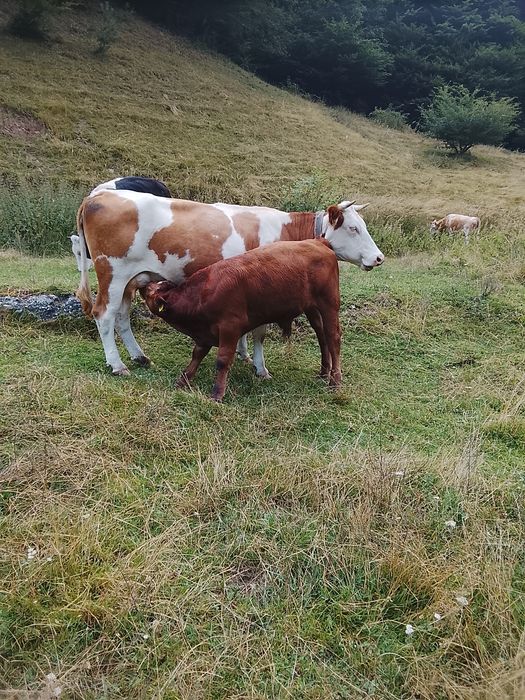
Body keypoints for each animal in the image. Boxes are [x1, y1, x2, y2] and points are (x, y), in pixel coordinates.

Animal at [74, 190, 384, 377]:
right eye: (354, 228)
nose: (379, 257)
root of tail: (99, 194)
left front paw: (243, 354)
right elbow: (260, 332)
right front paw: (260, 368)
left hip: (130, 279)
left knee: (122, 317)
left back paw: (139, 357)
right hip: (113, 273)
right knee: (104, 315)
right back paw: (117, 365)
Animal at [139, 239, 341, 401]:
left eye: (149, 290)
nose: (143, 284)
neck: (201, 294)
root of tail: (317, 241)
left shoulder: (230, 328)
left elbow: (222, 361)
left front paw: (217, 393)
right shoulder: (205, 334)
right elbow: (197, 354)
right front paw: (184, 379)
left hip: (329, 304)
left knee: (333, 338)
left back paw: (335, 381)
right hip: (312, 308)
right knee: (322, 336)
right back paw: (324, 372)